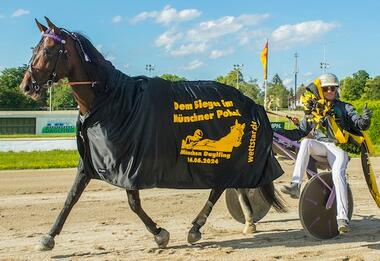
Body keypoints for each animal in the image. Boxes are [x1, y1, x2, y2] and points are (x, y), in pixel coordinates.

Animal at [18, 16, 284, 250]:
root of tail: (251, 102)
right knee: (232, 183)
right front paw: (48, 237)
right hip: (228, 161)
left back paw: (197, 227)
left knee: (219, 187)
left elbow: (133, 203)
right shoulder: (92, 161)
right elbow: (71, 197)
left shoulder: (128, 163)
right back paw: (247, 220)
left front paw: (159, 234)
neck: (109, 100)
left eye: (49, 50)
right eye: (34, 49)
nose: (26, 86)